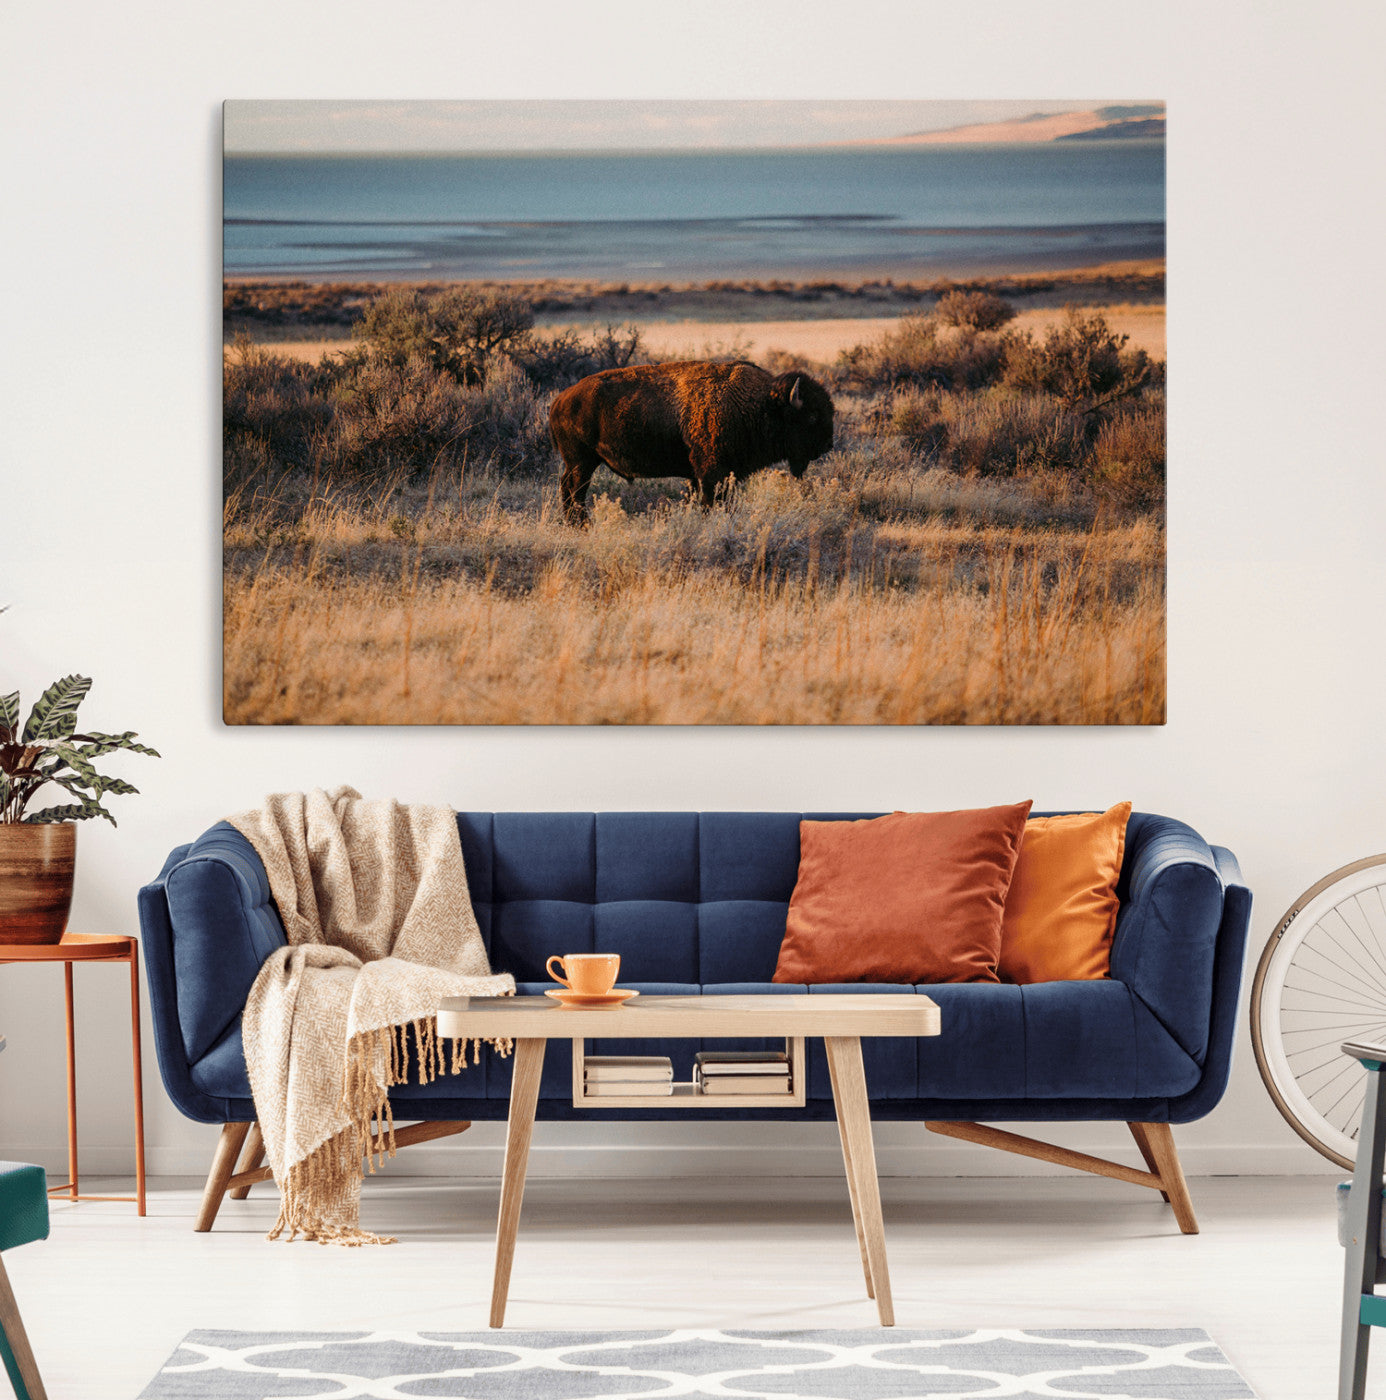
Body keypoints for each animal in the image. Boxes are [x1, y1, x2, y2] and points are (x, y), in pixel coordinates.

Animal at [548, 360, 834, 524]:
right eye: (811, 416)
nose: (828, 444)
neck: (760, 404)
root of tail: (559, 400)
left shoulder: (705, 475)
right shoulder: (712, 472)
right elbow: (711, 501)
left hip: (581, 462)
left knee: (569, 488)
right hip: (581, 462)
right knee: (574, 490)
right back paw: (581, 525)